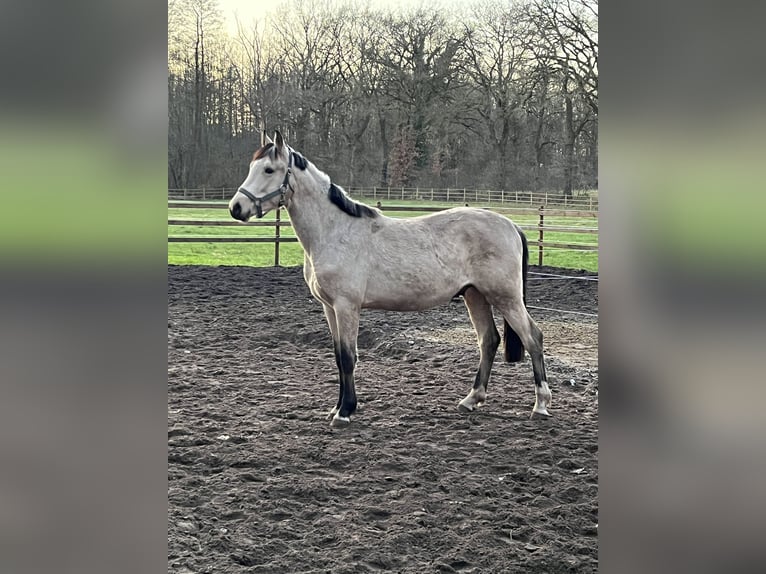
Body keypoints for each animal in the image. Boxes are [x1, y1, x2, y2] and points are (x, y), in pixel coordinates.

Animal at [228, 130, 552, 428]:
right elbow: (338, 357)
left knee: (533, 337)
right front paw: (336, 408)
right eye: (252, 167)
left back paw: (541, 405)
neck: (335, 231)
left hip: (505, 297)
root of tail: (510, 225)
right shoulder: (329, 308)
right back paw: (471, 399)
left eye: (269, 170)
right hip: (475, 296)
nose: (236, 208)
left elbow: (348, 357)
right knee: (489, 340)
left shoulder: (347, 306)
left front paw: (345, 412)